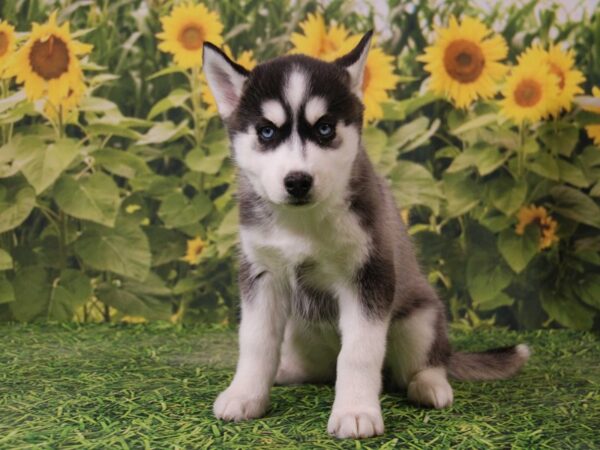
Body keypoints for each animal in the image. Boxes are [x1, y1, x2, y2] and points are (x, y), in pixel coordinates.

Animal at [203, 32, 528, 440]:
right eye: (266, 131)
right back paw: (285, 372)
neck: (301, 223)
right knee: (314, 366)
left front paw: (355, 411)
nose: (298, 181)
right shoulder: (262, 276)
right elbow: (256, 341)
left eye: (324, 128)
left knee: (424, 363)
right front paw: (245, 395)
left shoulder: (369, 275)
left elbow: (358, 353)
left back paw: (430, 386)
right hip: (299, 331)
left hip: (419, 320)